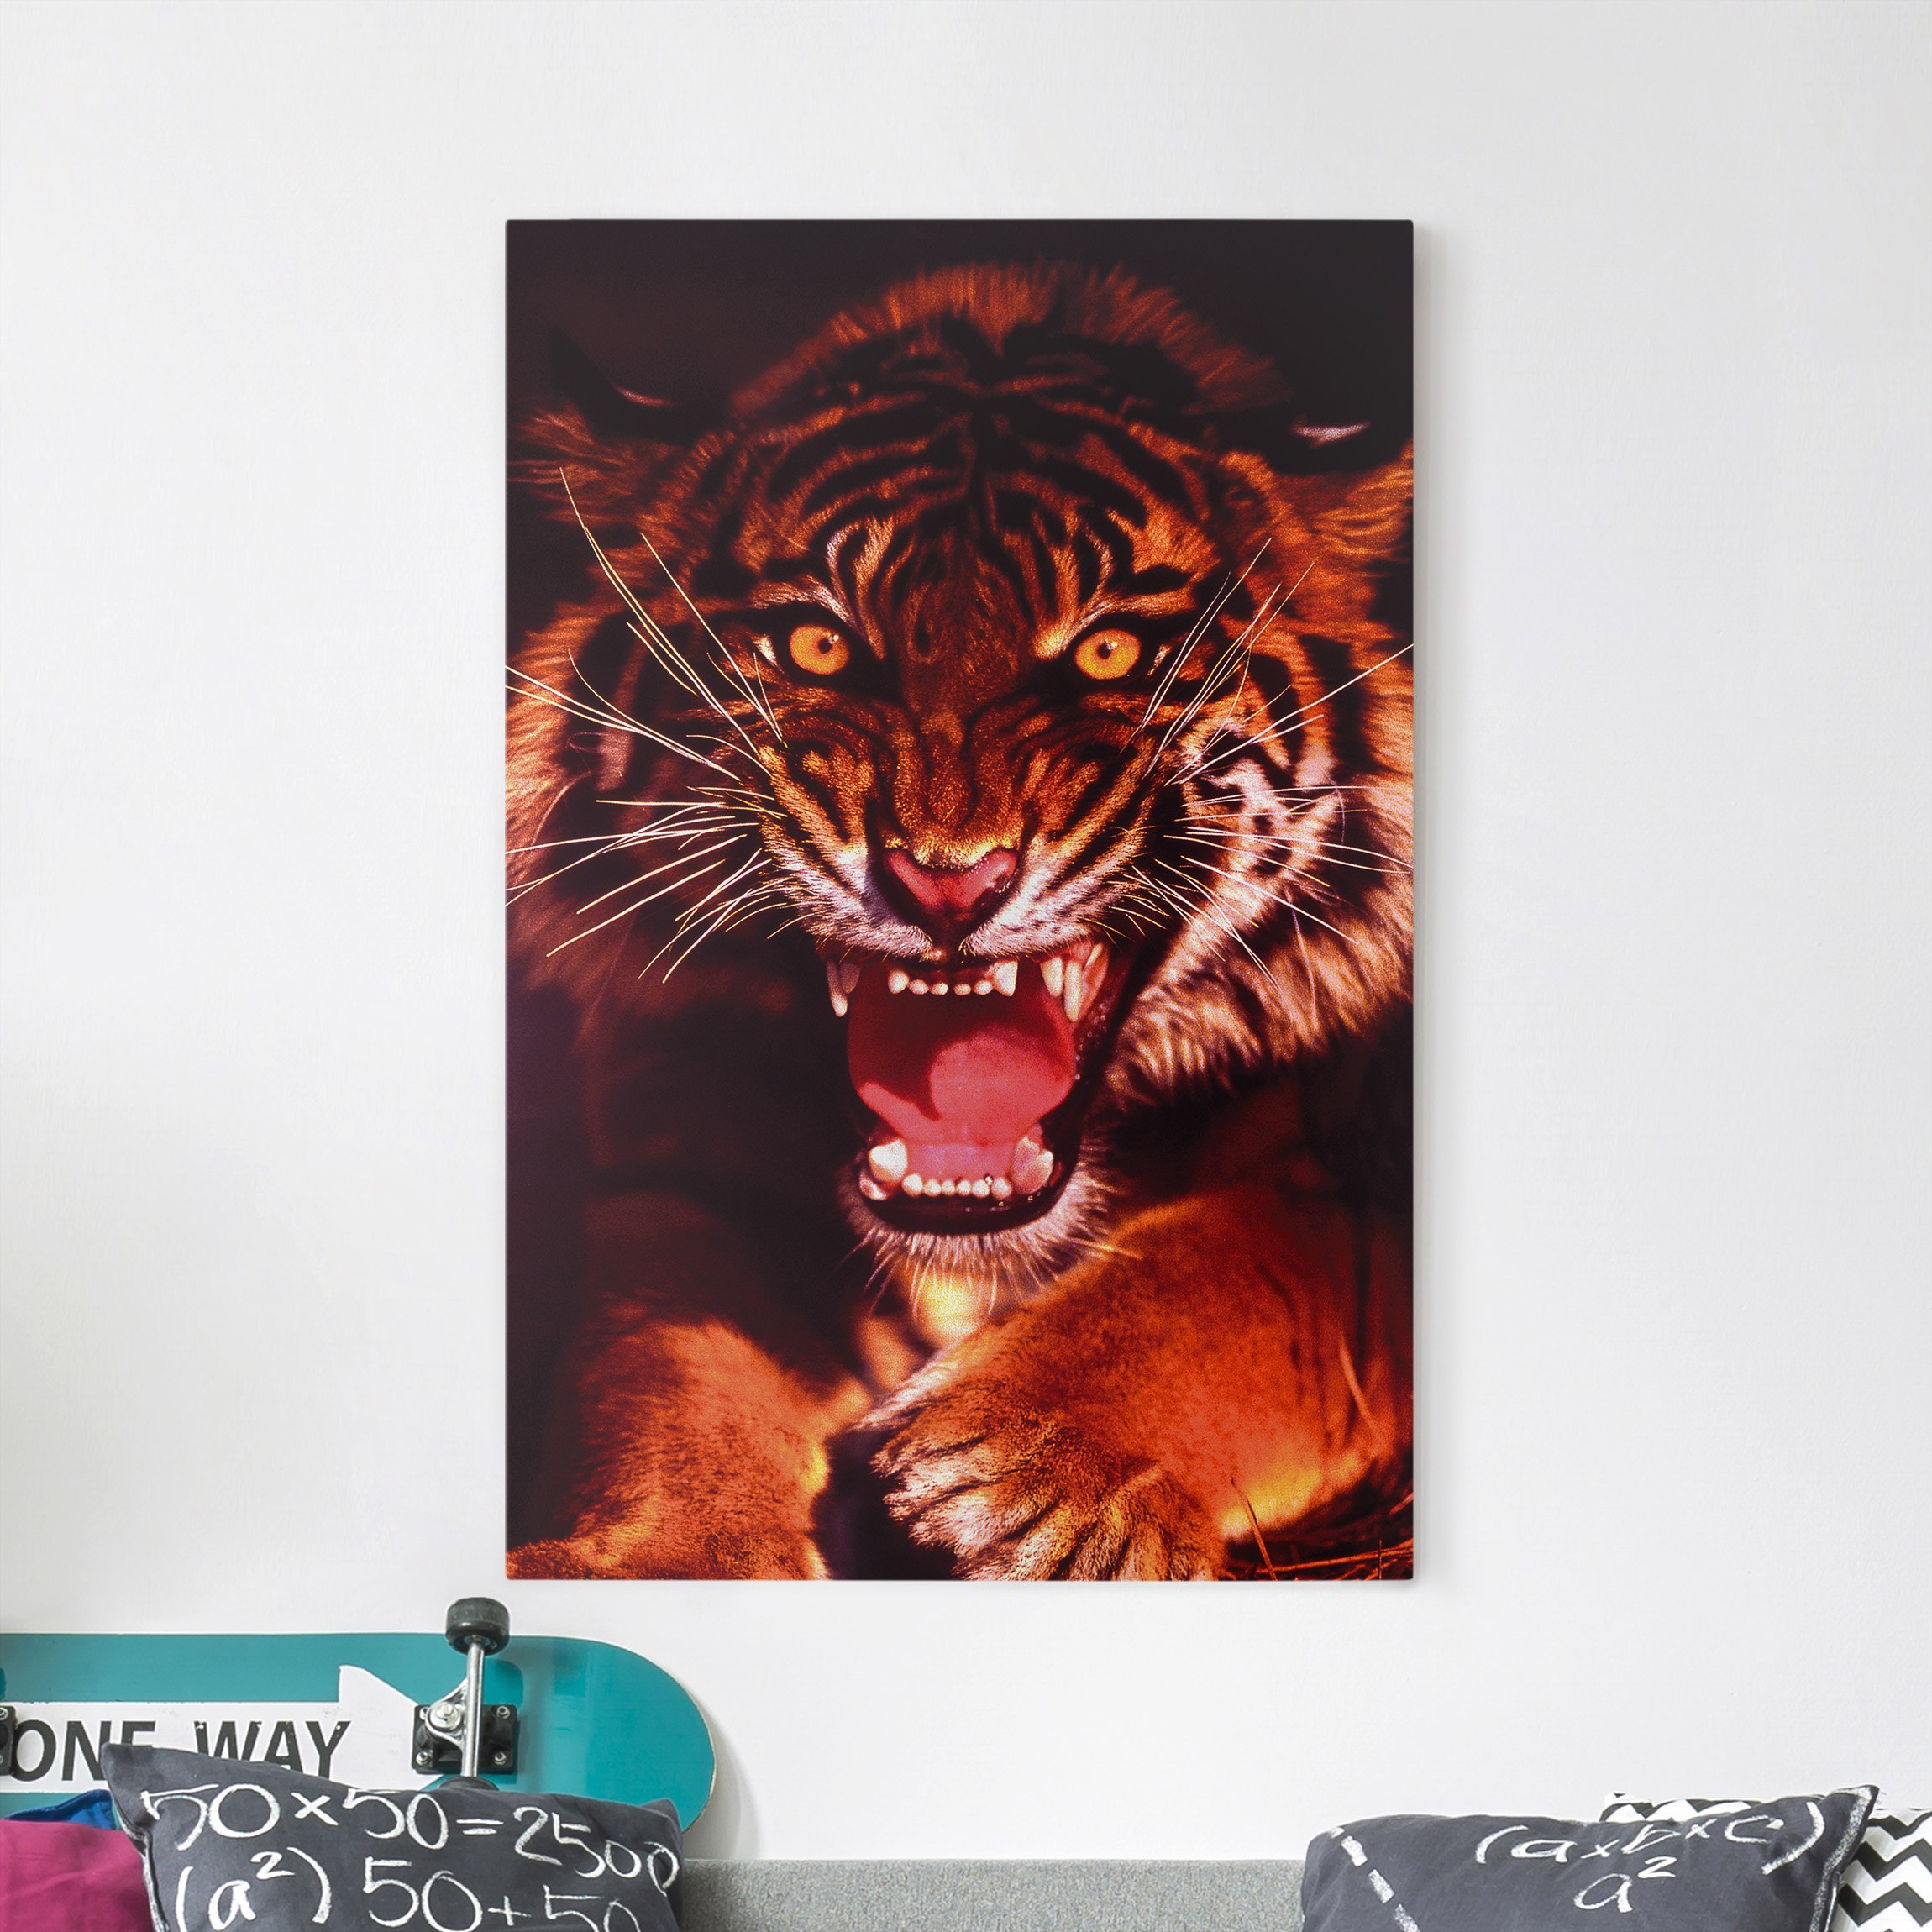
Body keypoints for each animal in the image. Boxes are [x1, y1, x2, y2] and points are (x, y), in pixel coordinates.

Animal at [505, 260, 1412, 1581]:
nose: (945, 881)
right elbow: (676, 1377)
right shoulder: (688, 1149)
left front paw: (1020, 1473)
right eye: (817, 642)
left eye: (1110, 650)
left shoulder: (1354, 1177)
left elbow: (1225, 1270)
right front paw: (667, 1558)